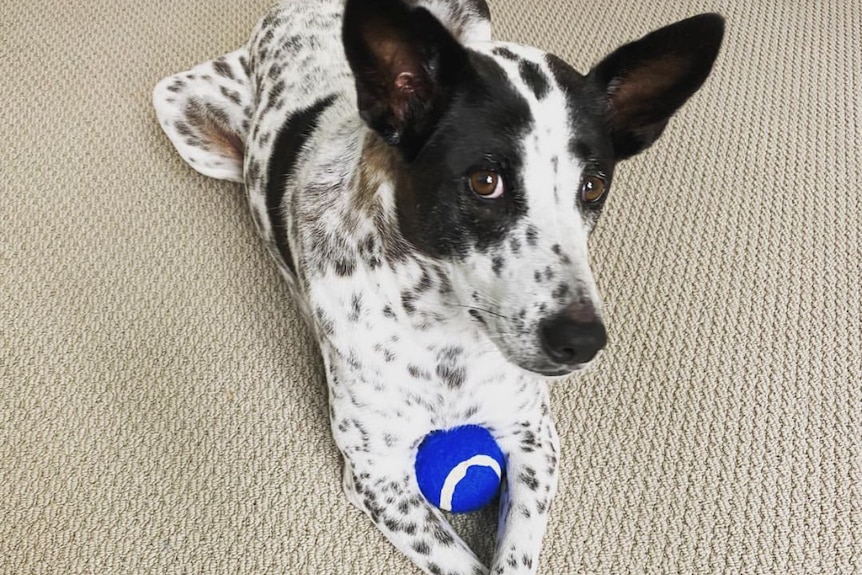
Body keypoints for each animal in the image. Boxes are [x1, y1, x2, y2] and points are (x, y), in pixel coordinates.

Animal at [154, 2, 724, 572]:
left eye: (593, 185)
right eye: (484, 182)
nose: (582, 341)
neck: (446, 335)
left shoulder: (534, 438)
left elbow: (514, 554)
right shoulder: (378, 474)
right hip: (182, 112)